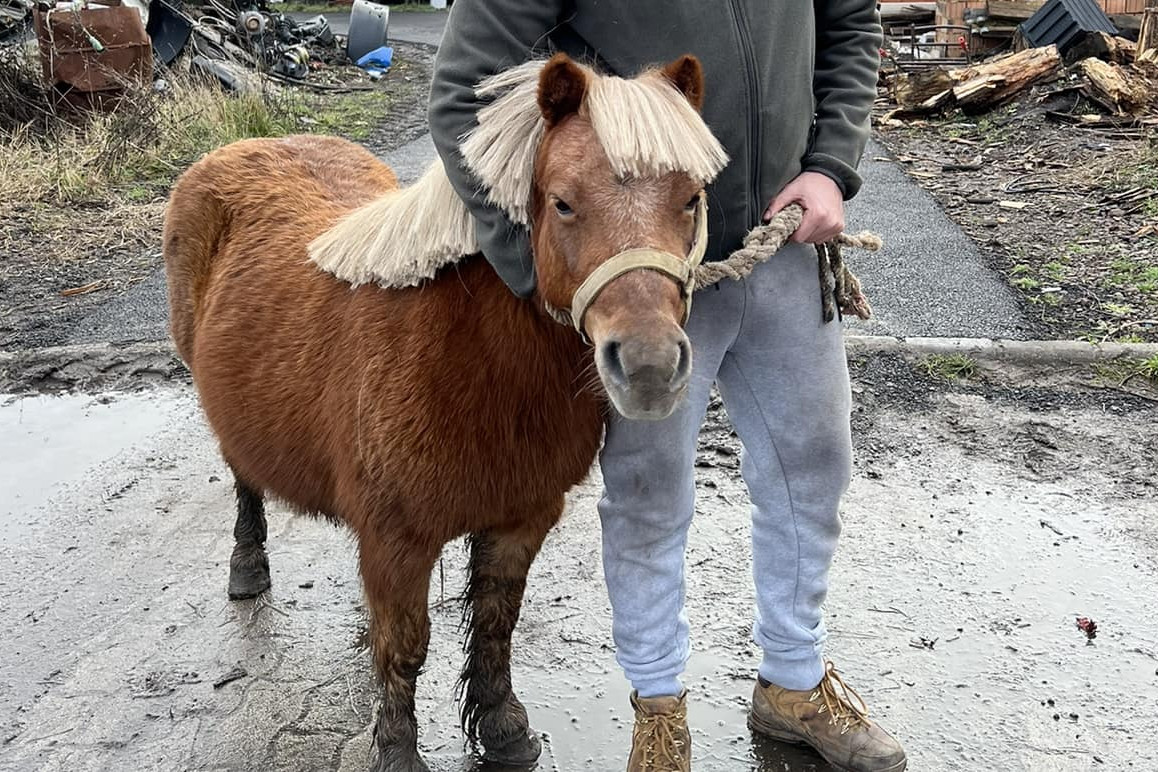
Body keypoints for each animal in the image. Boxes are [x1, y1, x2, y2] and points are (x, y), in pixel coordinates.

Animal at [163, 54, 722, 772]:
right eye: (563, 202)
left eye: (691, 198)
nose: (650, 366)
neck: (472, 357)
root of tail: (244, 146)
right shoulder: (401, 540)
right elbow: (406, 648)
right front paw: (399, 750)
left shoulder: (519, 519)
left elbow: (494, 624)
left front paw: (503, 727)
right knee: (242, 476)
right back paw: (247, 566)